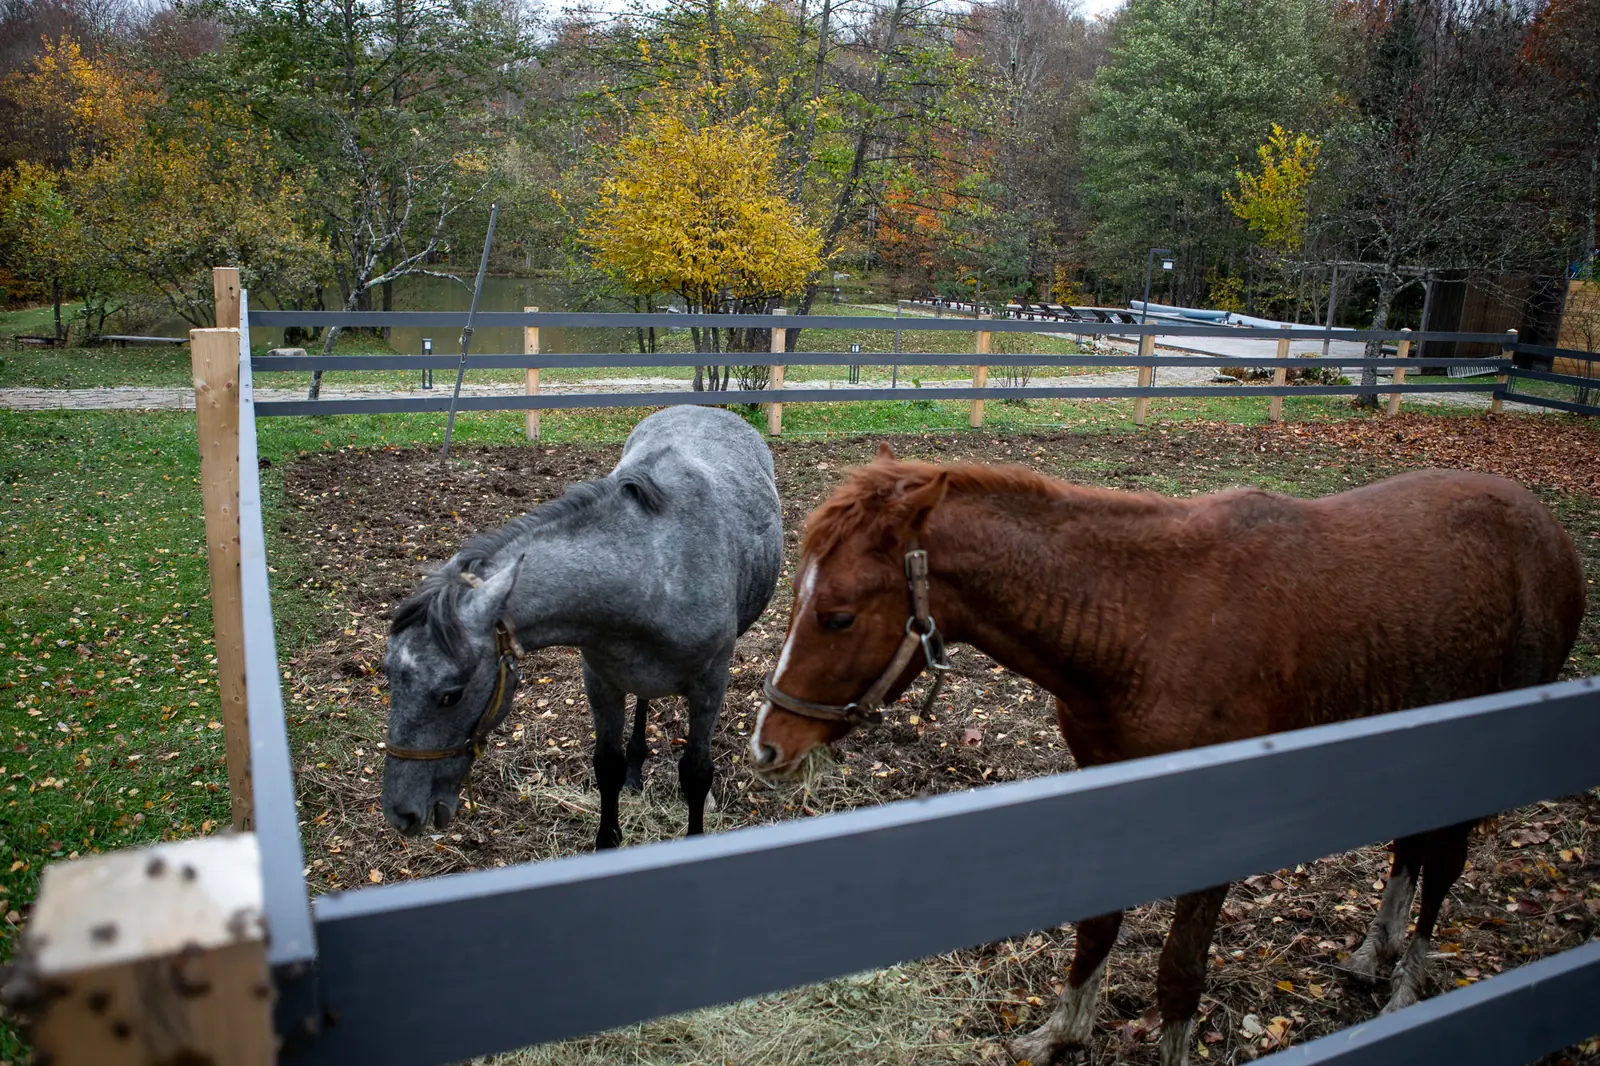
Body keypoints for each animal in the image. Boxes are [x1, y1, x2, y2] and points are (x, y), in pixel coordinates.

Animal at [381, 405, 783, 850]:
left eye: (450, 696)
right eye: (389, 677)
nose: (401, 813)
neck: (655, 570)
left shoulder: (709, 683)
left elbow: (696, 772)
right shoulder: (601, 681)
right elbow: (607, 765)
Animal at [751, 444, 1584, 1066]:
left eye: (838, 615)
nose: (768, 742)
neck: (1148, 622)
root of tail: (1547, 529)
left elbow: (1179, 972)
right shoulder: (1109, 784)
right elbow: (1097, 924)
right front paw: (1061, 1033)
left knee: (1443, 863)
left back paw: (1407, 989)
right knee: (1411, 847)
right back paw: (1372, 955)